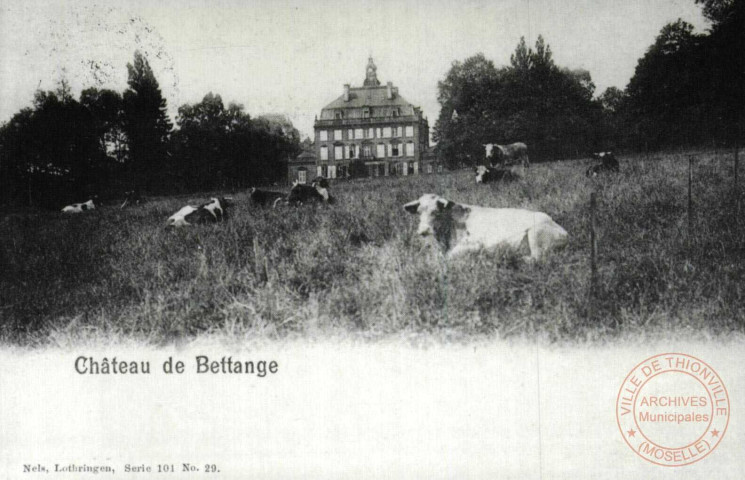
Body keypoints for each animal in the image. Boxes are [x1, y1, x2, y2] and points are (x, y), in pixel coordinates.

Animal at [404, 193, 568, 260]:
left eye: (436, 211)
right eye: (419, 212)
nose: (423, 230)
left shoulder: (476, 244)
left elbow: (450, 257)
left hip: (536, 235)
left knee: (536, 258)